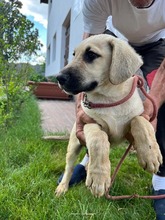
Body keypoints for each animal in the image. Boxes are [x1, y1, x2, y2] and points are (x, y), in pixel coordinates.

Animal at [55, 34, 162, 198]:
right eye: (74, 55)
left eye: (91, 55)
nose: (59, 78)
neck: (110, 99)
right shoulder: (88, 123)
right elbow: (98, 139)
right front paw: (99, 177)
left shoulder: (133, 127)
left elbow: (140, 121)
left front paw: (150, 155)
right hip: (73, 144)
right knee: (70, 167)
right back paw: (63, 186)